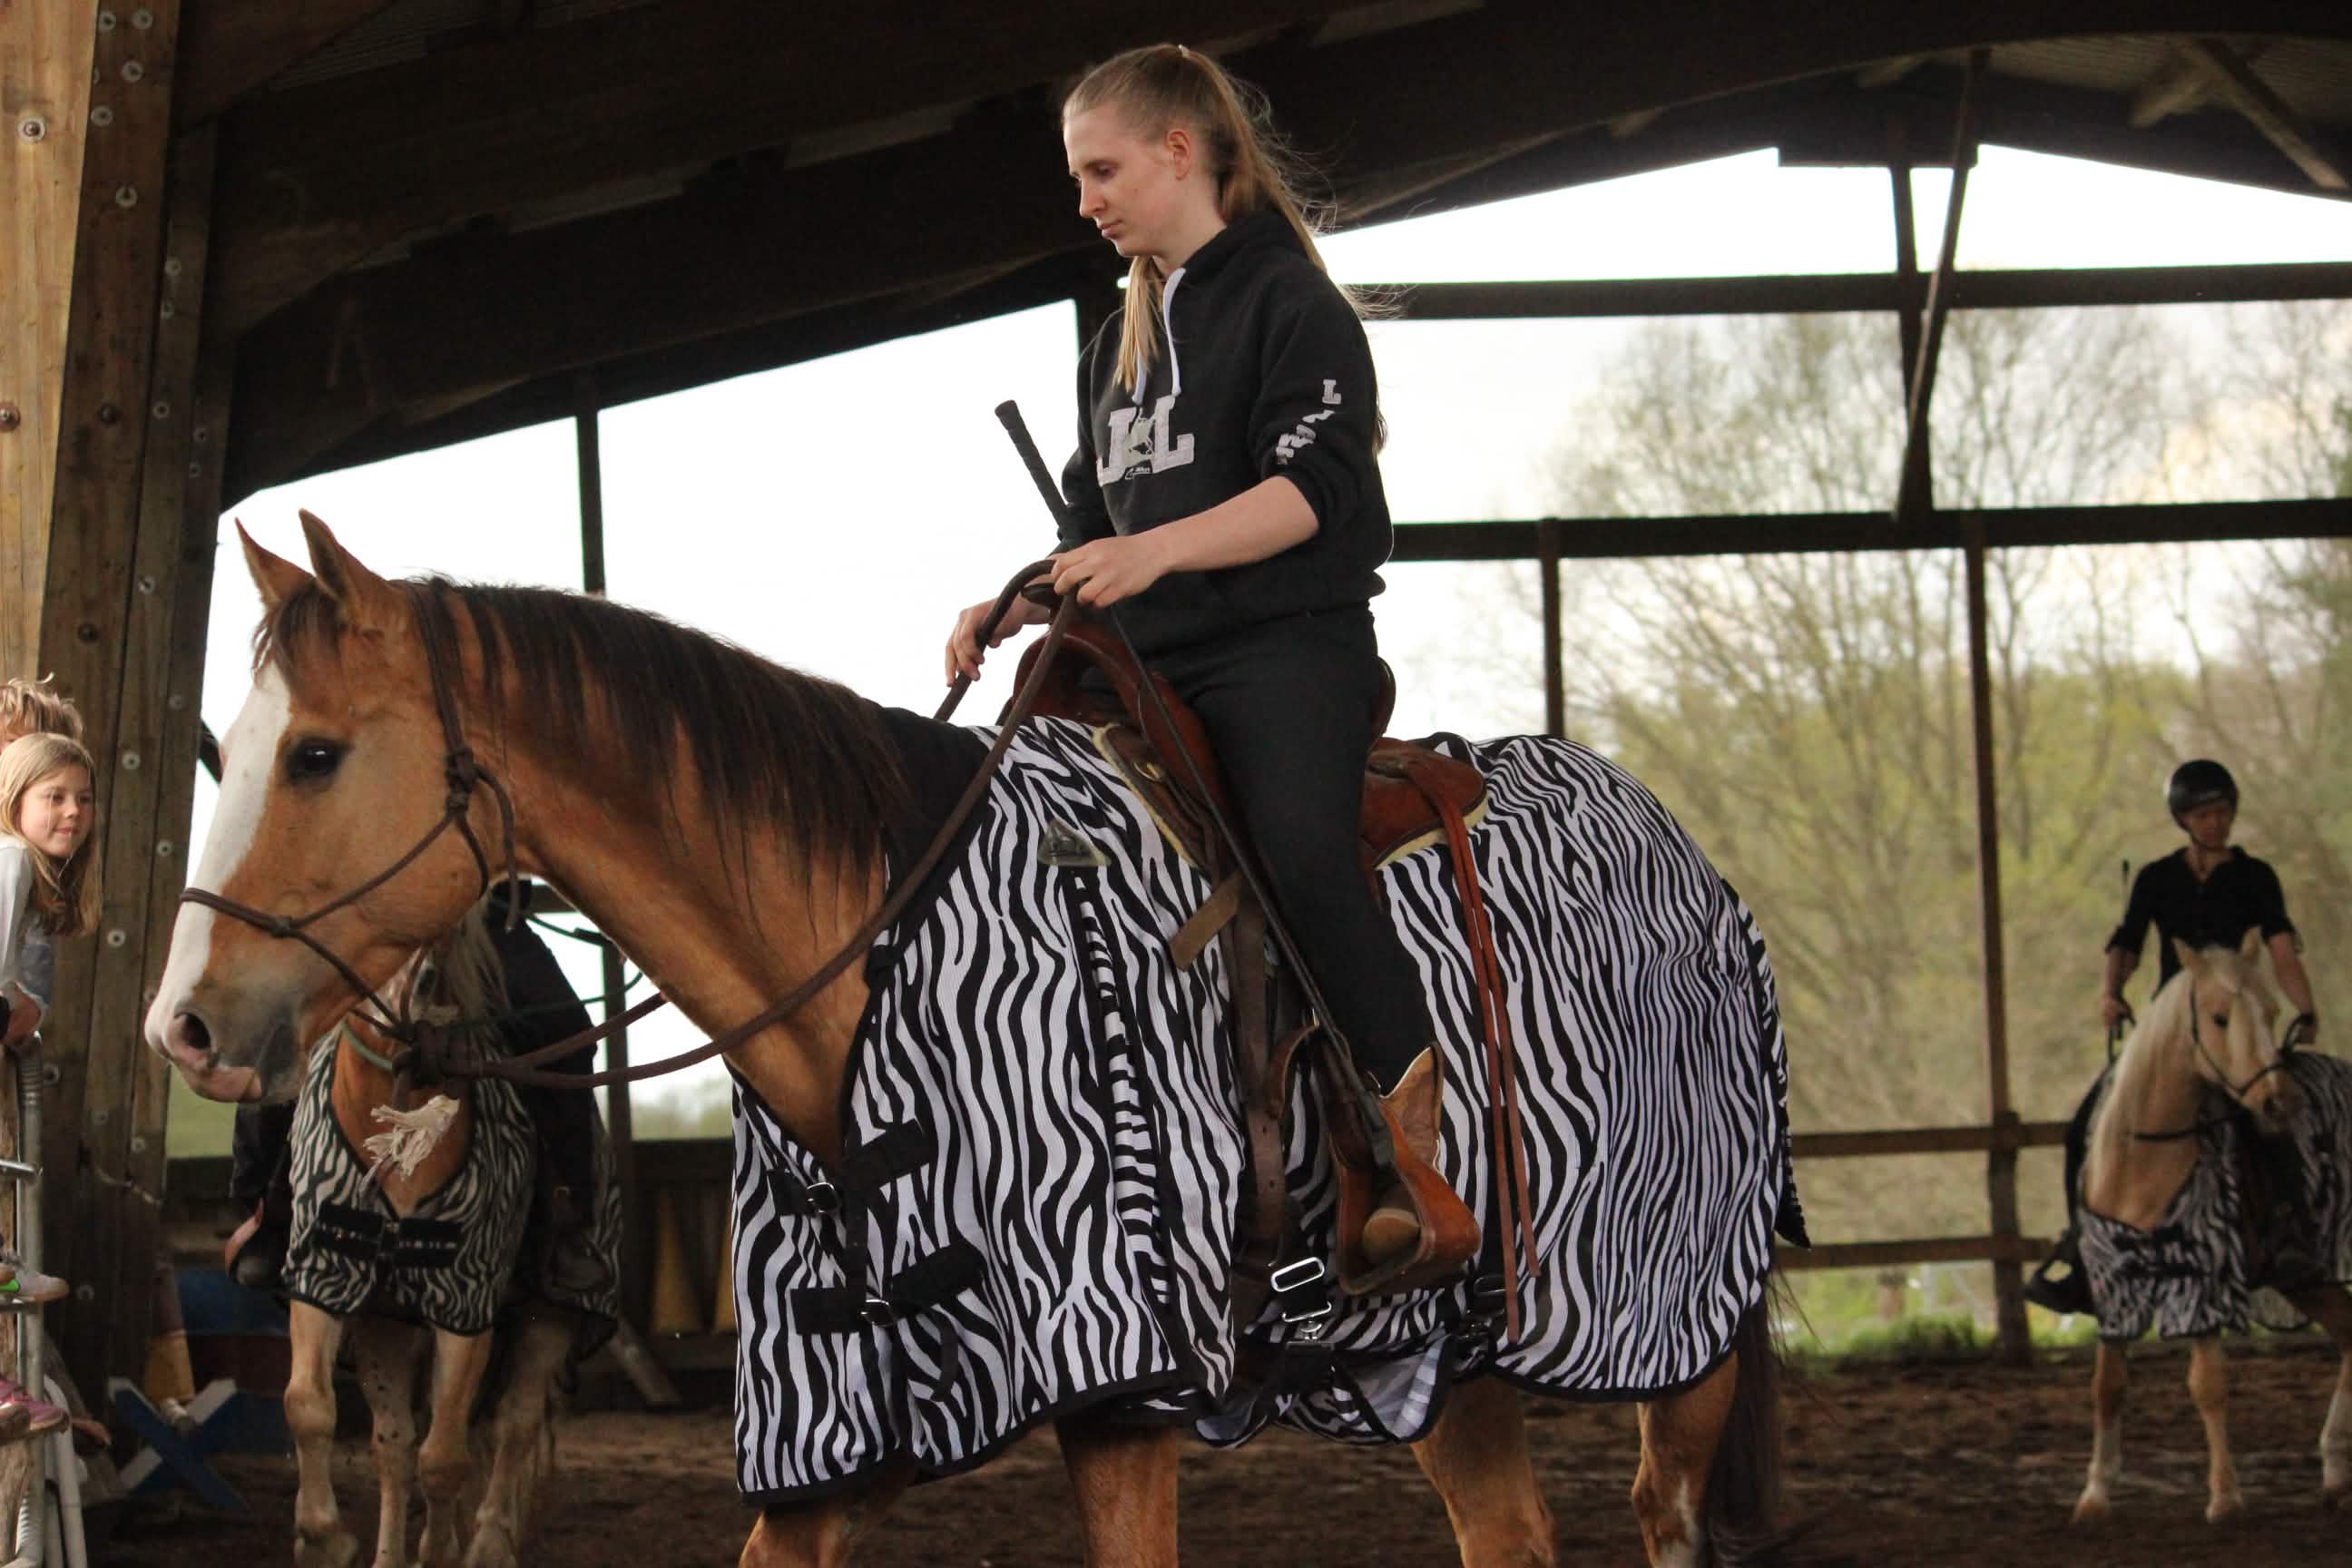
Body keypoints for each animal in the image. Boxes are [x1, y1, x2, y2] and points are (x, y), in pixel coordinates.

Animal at [281, 902, 619, 1568]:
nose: (411, 999)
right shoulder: (327, 1282)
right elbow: (308, 1408)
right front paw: (322, 1537)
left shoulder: (465, 1303)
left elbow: (445, 1458)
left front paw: (438, 1550)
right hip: (387, 1327)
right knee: (395, 1445)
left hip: (551, 1316)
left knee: (512, 1423)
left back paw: (488, 1542)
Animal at [2069, 931, 2352, 1526]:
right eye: (2220, 1018)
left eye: (2271, 1012)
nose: (2280, 1102)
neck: (2143, 1165)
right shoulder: (2112, 1286)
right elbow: (2108, 1386)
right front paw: (2096, 1493)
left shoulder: (2203, 1282)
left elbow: (2208, 1385)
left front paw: (2225, 1495)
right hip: (2307, 1279)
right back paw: (2336, 1474)